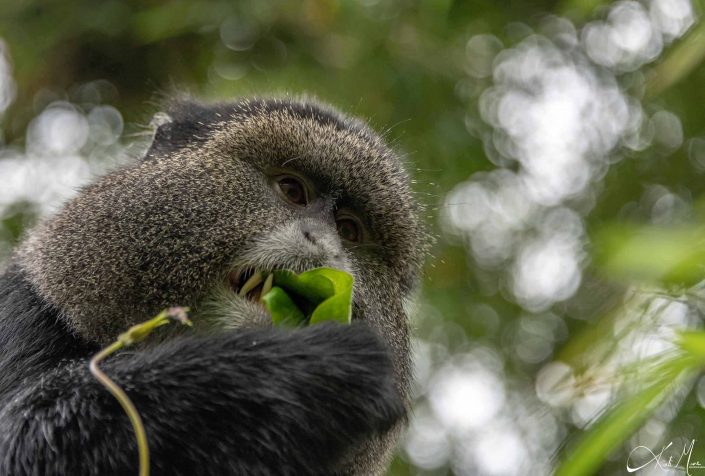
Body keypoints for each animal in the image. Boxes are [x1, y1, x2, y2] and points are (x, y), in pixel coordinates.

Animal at [0, 97, 424, 476]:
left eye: (349, 230)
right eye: (291, 191)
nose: (325, 244)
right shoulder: (21, 312)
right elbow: (18, 440)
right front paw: (310, 363)